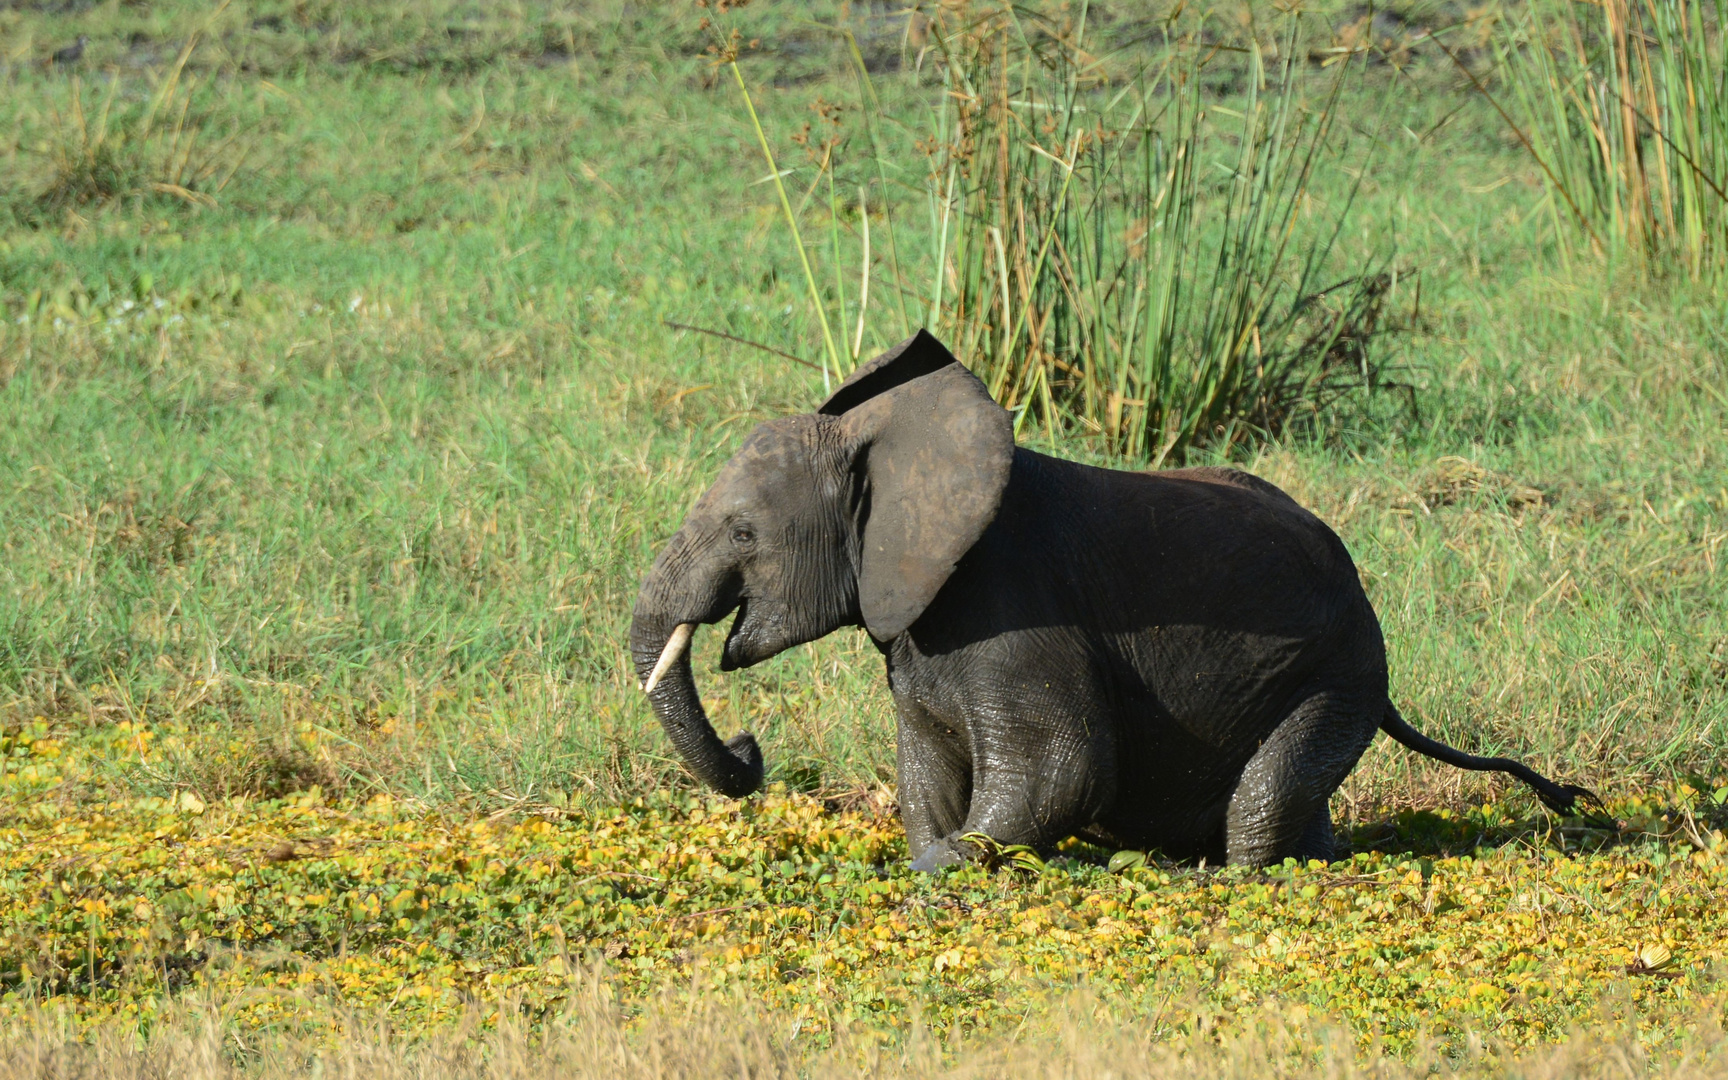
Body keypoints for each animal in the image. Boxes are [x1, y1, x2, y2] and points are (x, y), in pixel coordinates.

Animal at [632, 328, 1589, 867]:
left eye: (743, 534)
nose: (750, 749)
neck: (895, 446)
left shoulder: (1012, 606)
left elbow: (1063, 766)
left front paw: (943, 870)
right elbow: (926, 767)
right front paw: (929, 857)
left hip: (1339, 672)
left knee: (1261, 805)